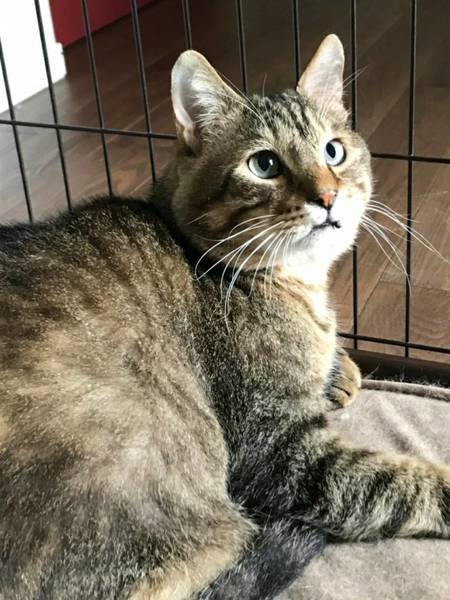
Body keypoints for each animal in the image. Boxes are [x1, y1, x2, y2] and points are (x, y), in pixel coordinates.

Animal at [0, 34, 449, 600]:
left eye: (334, 150)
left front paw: (340, 370)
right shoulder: (280, 454)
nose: (327, 197)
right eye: (264, 164)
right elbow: (394, 483)